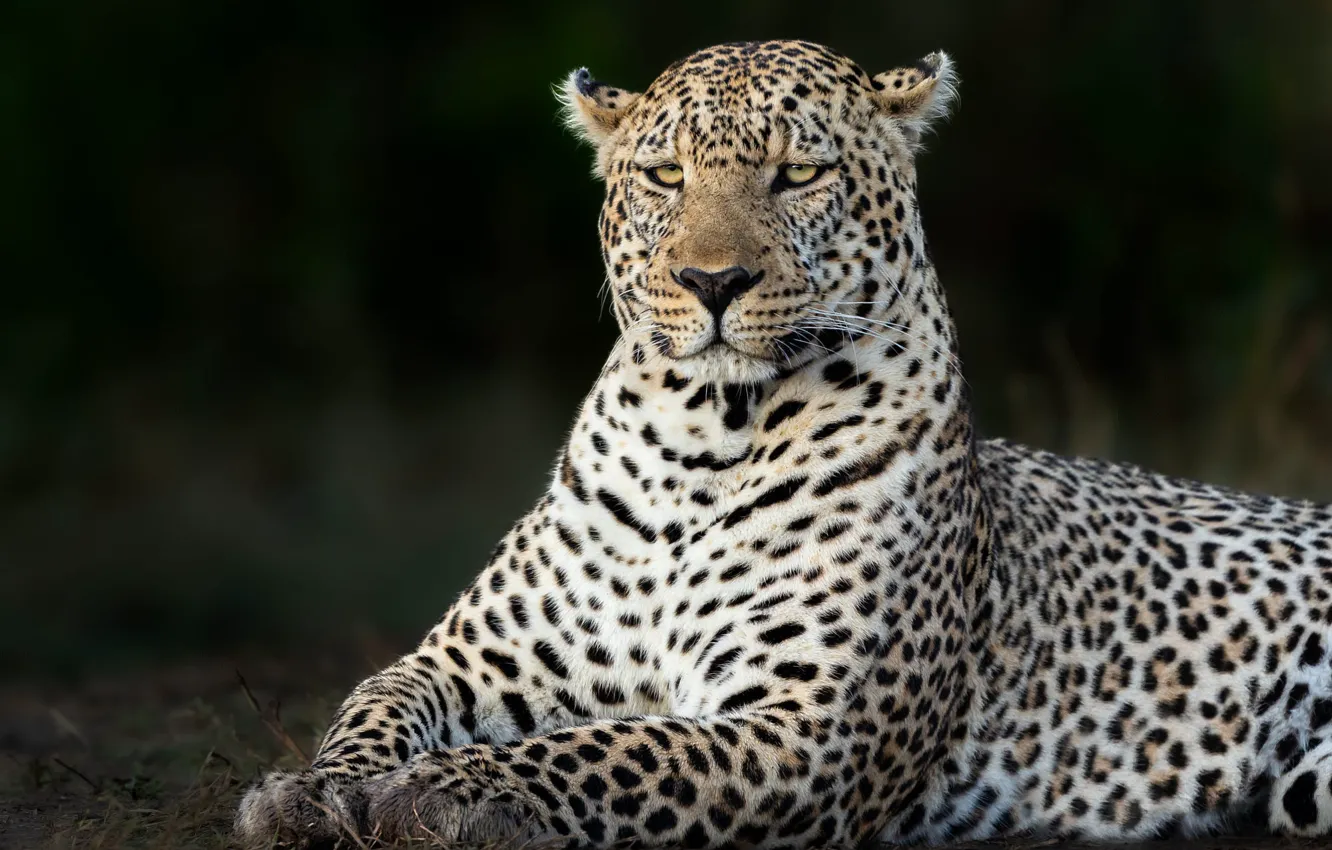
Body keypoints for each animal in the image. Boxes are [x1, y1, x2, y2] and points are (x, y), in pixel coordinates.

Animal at [235, 39, 1332, 849]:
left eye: (798, 173)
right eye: (665, 175)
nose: (712, 281)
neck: (697, 439)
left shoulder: (803, 730)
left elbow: (611, 750)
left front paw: (444, 794)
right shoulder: (467, 661)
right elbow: (370, 704)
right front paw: (307, 793)